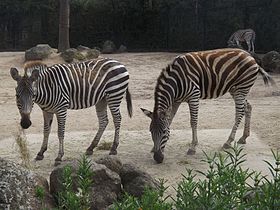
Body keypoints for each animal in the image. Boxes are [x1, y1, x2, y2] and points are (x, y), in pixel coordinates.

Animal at [141, 48, 274, 164]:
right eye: (150, 131)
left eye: (163, 132)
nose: (158, 158)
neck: (176, 82)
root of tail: (251, 56)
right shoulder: (176, 101)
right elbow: (170, 120)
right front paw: (154, 148)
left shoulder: (194, 96)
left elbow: (193, 122)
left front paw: (192, 147)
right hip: (235, 89)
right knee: (248, 107)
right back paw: (244, 137)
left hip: (242, 88)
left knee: (239, 112)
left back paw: (228, 142)